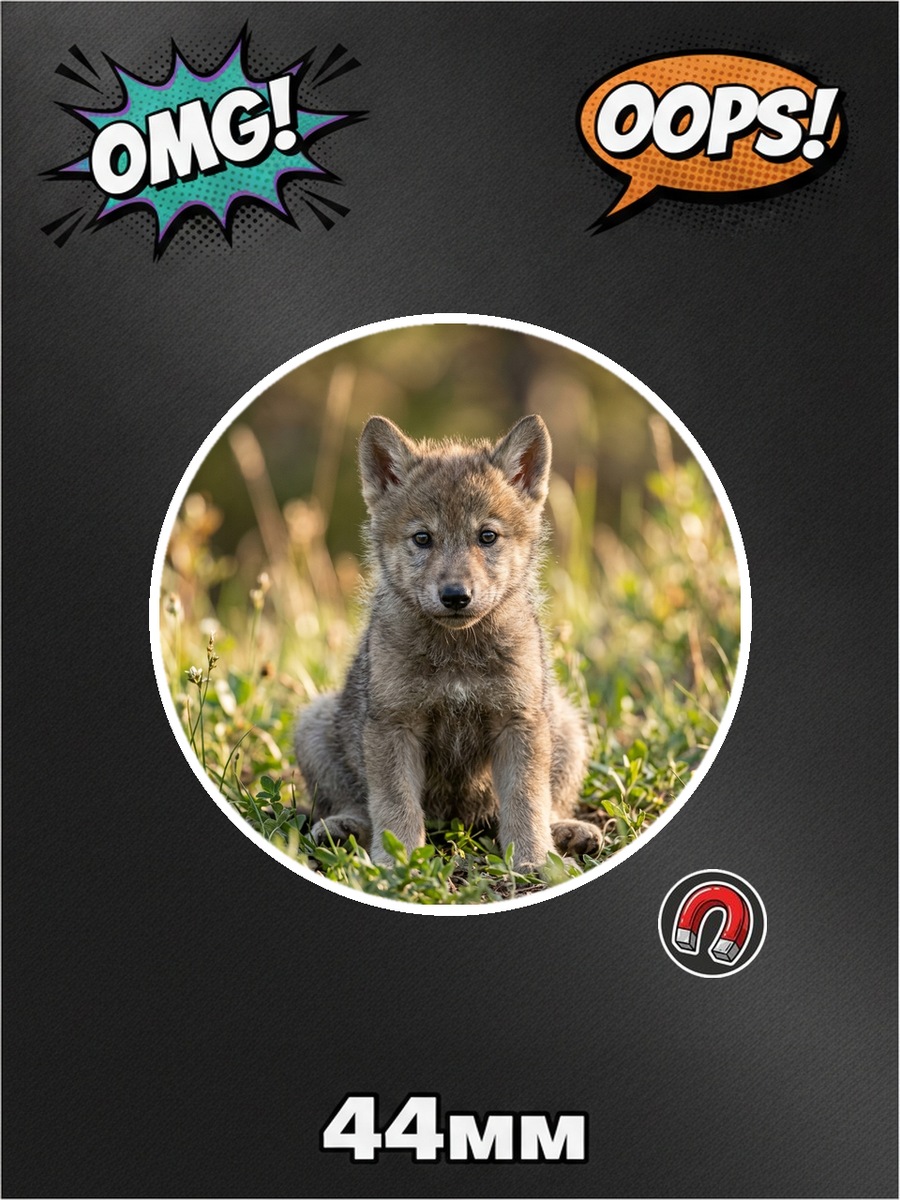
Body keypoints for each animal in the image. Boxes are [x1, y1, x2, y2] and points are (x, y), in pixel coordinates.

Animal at [294, 413, 597, 870]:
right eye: (423, 538)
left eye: (487, 536)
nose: (456, 596)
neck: (457, 656)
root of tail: (455, 822)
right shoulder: (394, 724)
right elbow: (395, 805)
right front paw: (398, 865)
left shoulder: (518, 721)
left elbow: (527, 801)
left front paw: (531, 861)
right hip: (314, 725)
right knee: (352, 802)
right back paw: (344, 828)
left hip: (566, 724)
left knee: (551, 801)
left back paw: (567, 832)